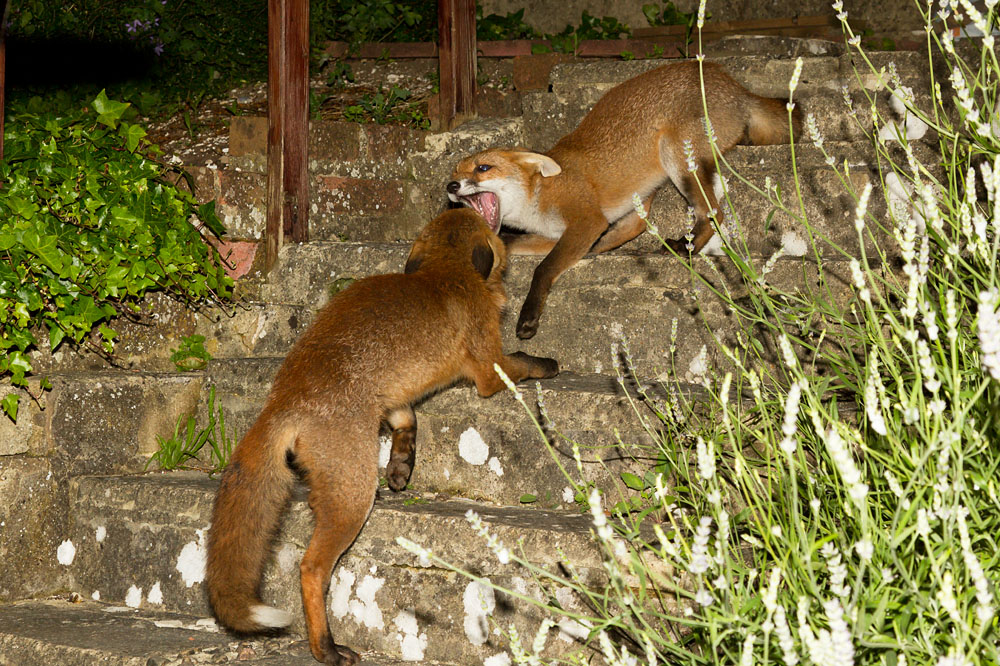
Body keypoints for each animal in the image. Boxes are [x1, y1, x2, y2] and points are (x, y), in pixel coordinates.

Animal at [204, 208, 559, 665]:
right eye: (484, 224)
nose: (467, 199)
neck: (446, 272)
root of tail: (284, 401)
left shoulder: (389, 395)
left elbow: (408, 419)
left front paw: (402, 463)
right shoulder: (487, 367)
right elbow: (522, 363)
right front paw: (548, 363)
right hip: (353, 496)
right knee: (311, 568)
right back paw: (327, 649)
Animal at [447, 60, 802, 339]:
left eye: (483, 168)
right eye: (455, 170)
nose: (450, 185)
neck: (541, 195)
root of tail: (737, 88)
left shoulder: (585, 221)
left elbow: (543, 268)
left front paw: (529, 316)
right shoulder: (559, 234)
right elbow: (513, 243)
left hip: (676, 155)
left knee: (713, 211)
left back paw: (685, 248)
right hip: (648, 187)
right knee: (636, 227)